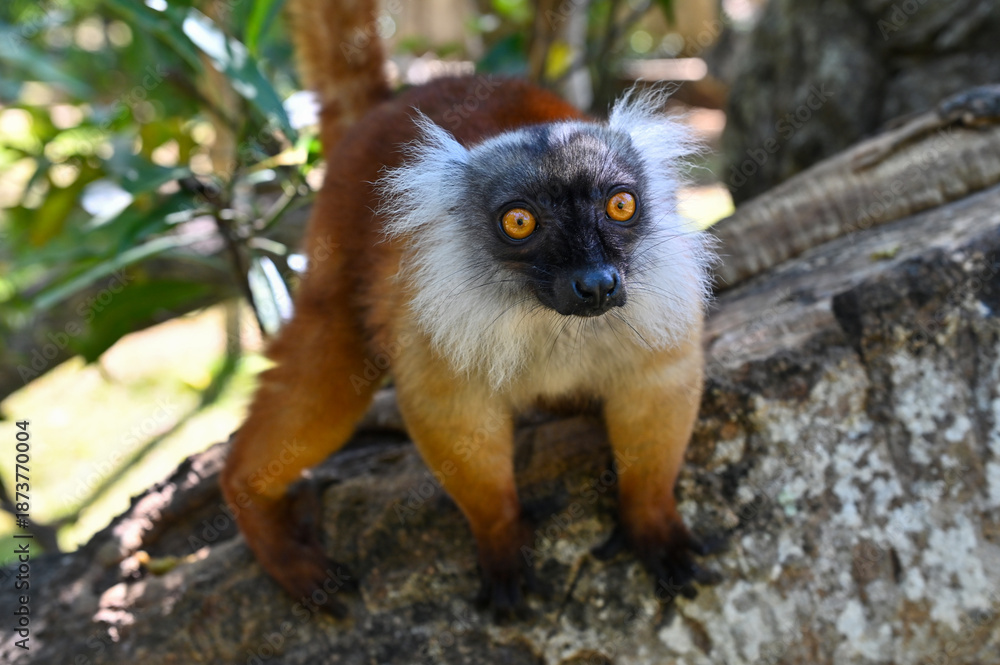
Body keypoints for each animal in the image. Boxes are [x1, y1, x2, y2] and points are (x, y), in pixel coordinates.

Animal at [220, 0, 717, 617]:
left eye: (620, 206)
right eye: (519, 221)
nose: (597, 285)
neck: (548, 318)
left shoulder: (659, 310)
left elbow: (658, 388)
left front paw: (651, 521)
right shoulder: (431, 320)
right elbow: (449, 411)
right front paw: (502, 537)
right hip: (335, 249)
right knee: (331, 358)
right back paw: (255, 507)